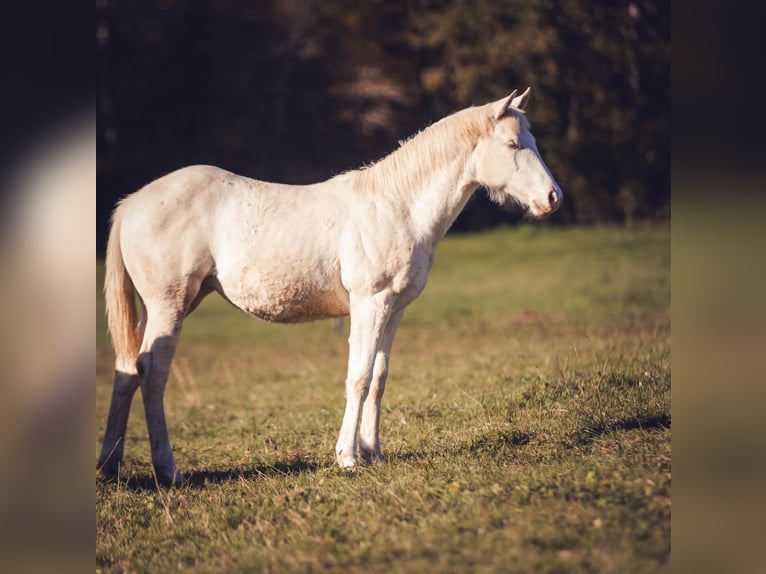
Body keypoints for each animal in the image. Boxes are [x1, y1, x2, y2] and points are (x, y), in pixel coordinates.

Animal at [97, 89, 564, 486]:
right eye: (513, 144)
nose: (553, 197)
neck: (397, 206)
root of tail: (133, 202)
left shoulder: (394, 309)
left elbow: (379, 377)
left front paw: (374, 454)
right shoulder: (369, 304)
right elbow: (358, 377)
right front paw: (348, 457)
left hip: (167, 307)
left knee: (126, 369)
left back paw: (109, 466)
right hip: (169, 306)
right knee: (152, 373)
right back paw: (167, 470)